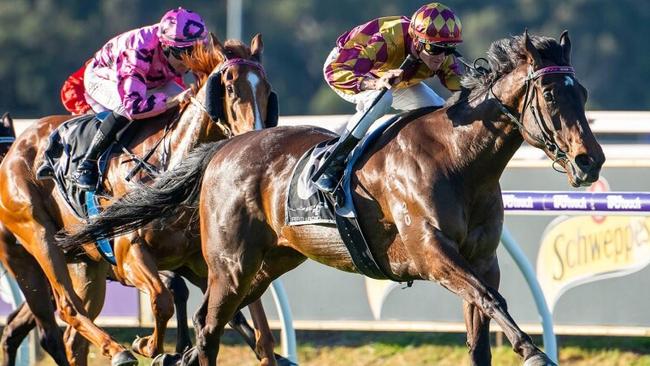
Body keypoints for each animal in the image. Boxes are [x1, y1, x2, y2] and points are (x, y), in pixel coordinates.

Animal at [0, 34, 276, 366]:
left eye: (267, 89)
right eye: (231, 88)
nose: (257, 139)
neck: (169, 163)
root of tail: (15, 148)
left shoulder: (203, 261)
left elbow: (257, 328)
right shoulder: (128, 253)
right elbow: (162, 298)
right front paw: (155, 349)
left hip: (84, 263)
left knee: (70, 337)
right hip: (37, 238)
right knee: (65, 309)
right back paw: (119, 351)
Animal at [63, 30, 604, 366]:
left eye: (583, 94)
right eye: (551, 95)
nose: (590, 161)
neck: (458, 160)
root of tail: (223, 148)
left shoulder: (481, 259)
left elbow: (481, 328)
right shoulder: (432, 253)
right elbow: (493, 300)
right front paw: (534, 351)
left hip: (270, 262)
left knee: (208, 322)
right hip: (230, 263)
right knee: (211, 324)